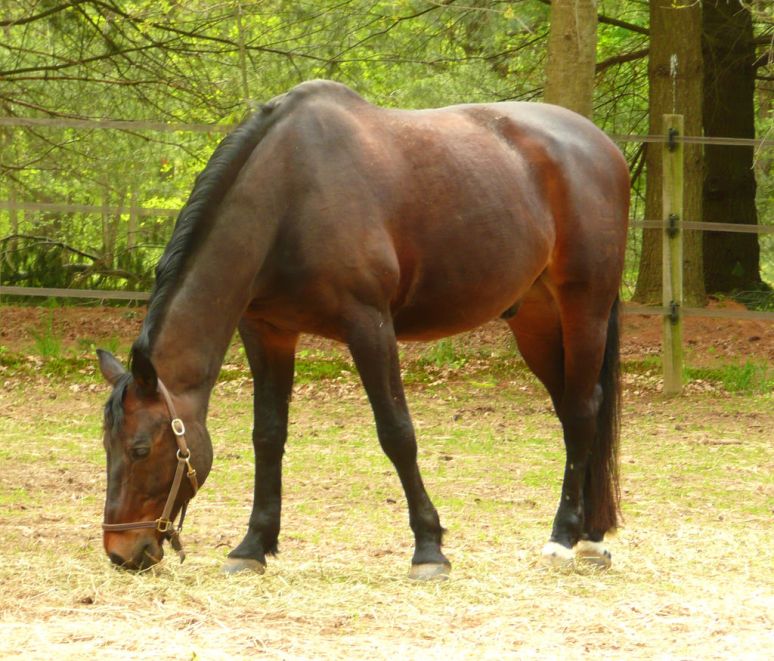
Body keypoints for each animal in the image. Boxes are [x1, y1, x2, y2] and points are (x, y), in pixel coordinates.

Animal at [97, 79, 629, 578]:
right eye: (107, 446)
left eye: (141, 449)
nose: (122, 552)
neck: (290, 196)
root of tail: (603, 145)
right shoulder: (267, 331)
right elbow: (267, 435)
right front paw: (253, 546)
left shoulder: (369, 325)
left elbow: (397, 433)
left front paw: (429, 549)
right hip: (536, 322)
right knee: (572, 414)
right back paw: (590, 533)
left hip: (584, 309)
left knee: (582, 412)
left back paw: (566, 538)